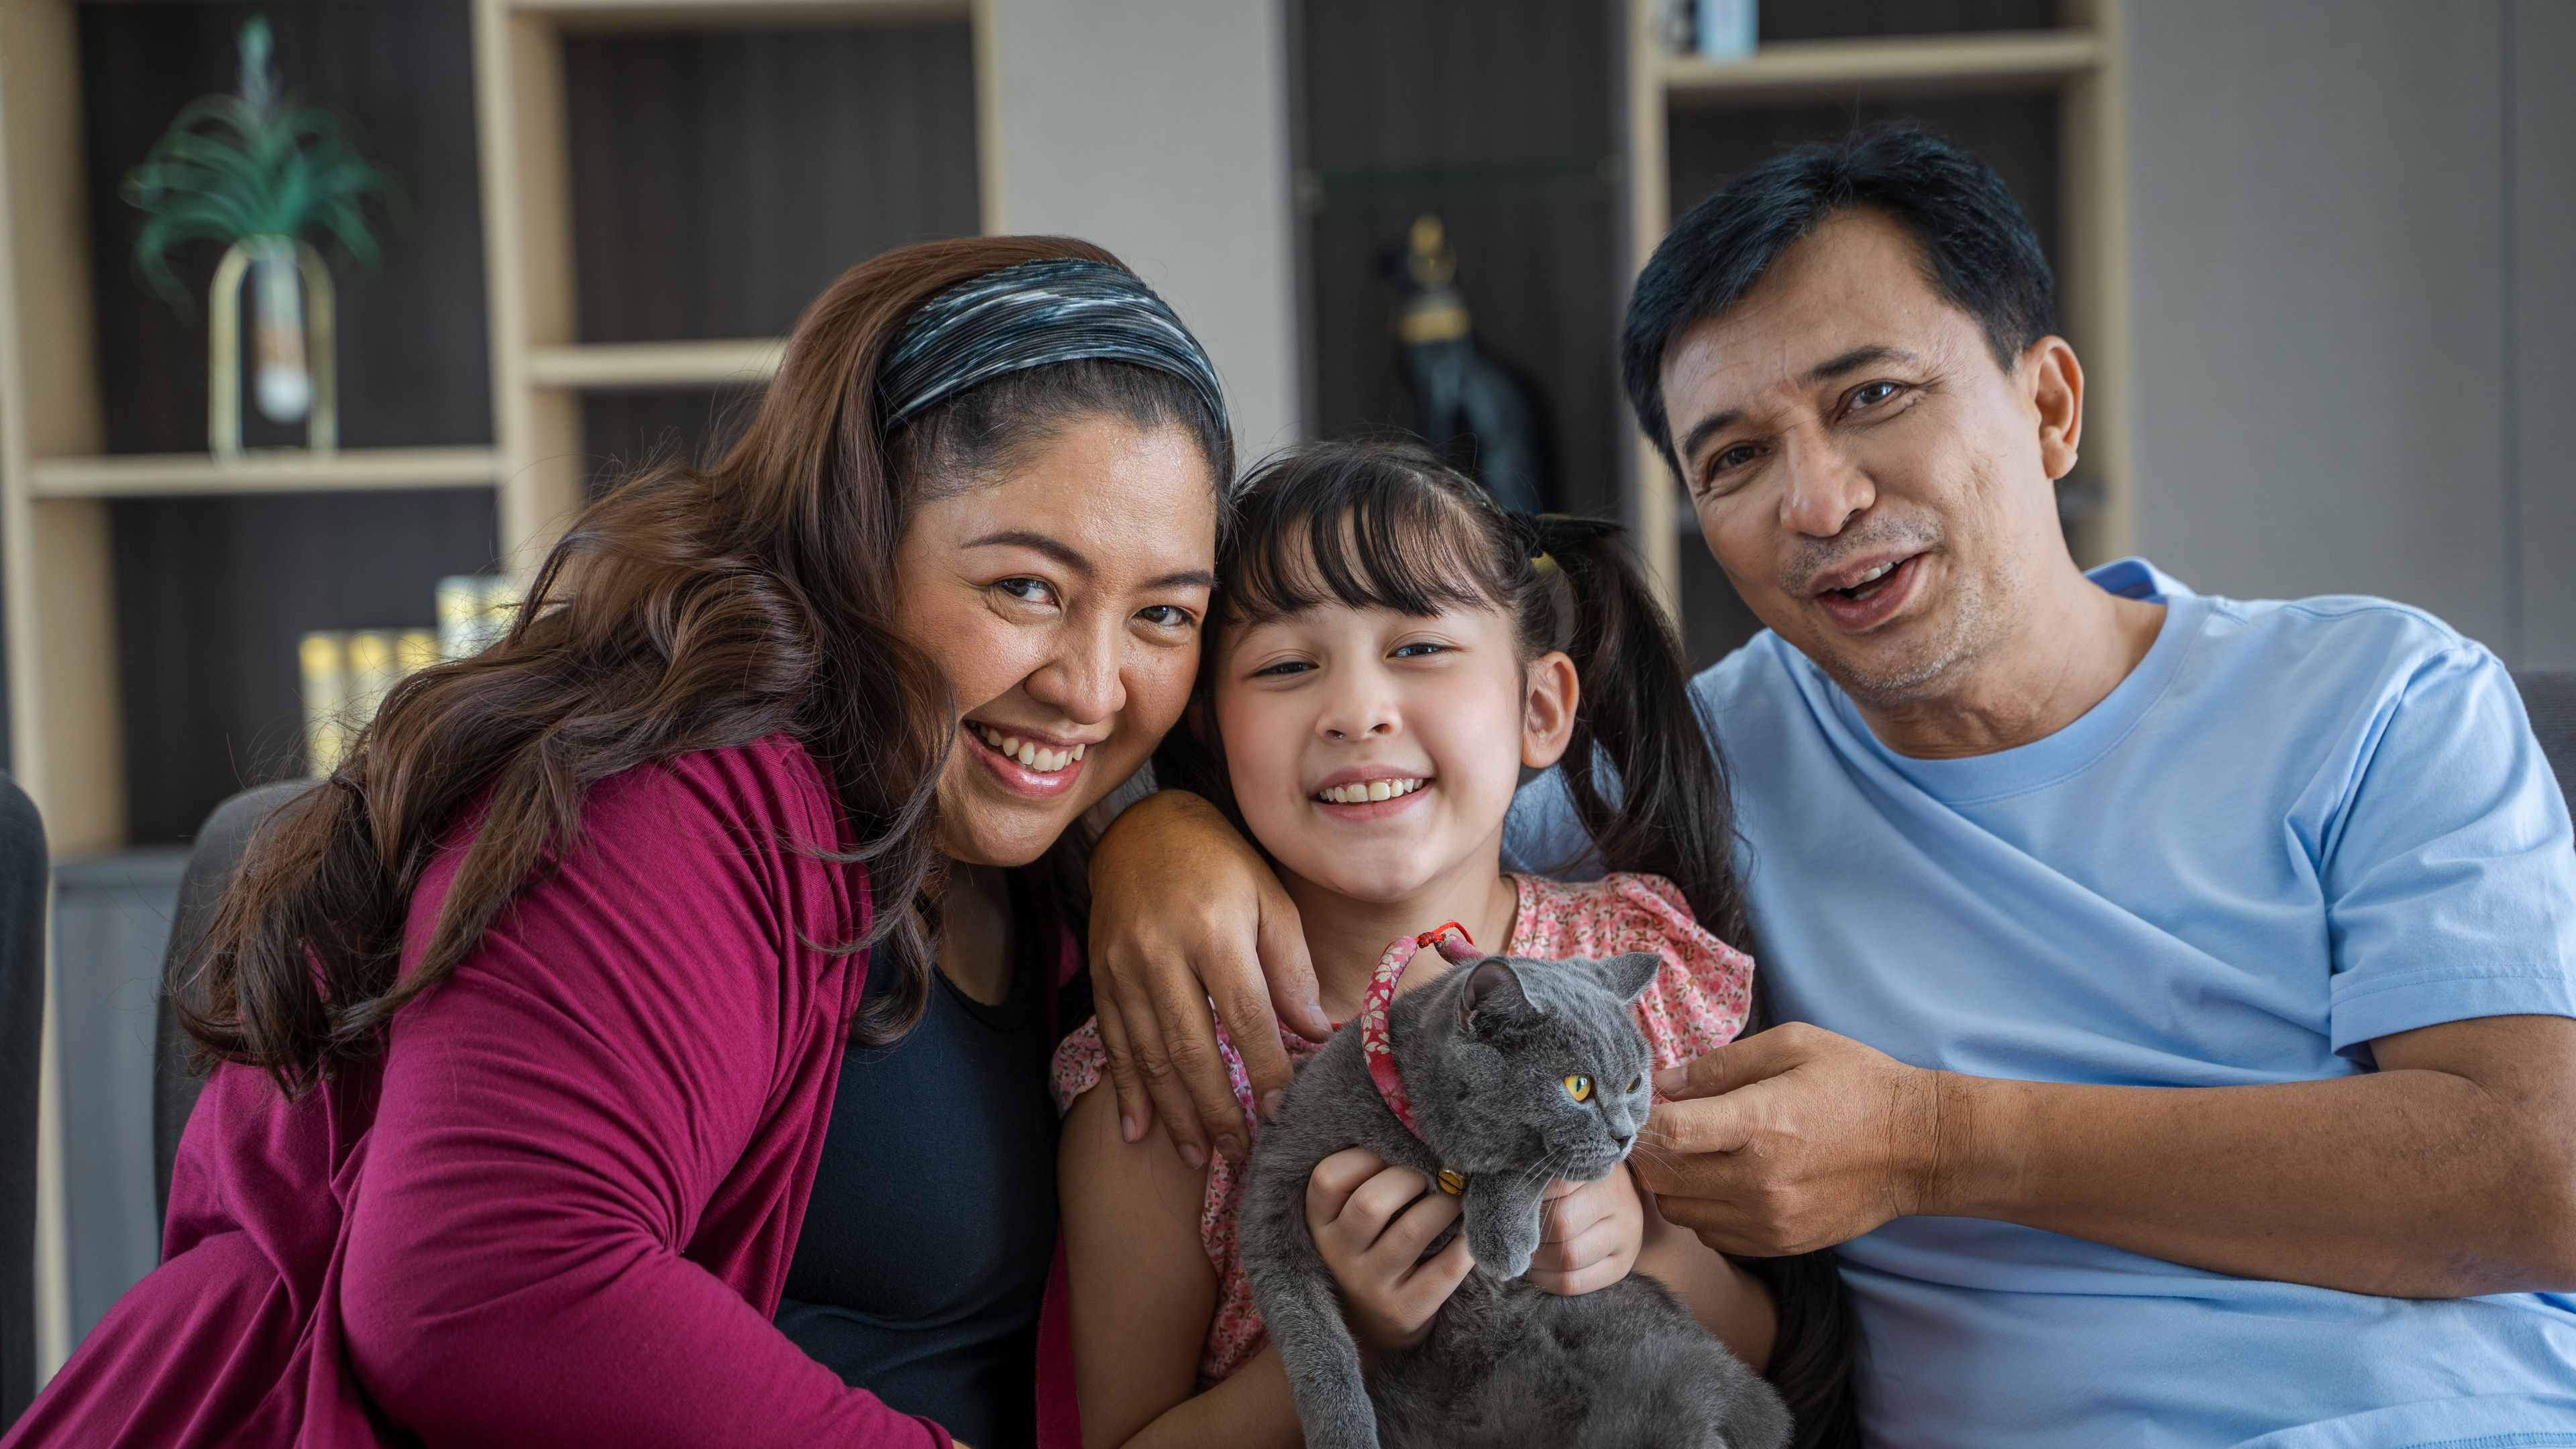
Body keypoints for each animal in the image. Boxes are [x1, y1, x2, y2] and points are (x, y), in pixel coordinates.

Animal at [1241, 949, 1792, 1444]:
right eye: (1578, 1085)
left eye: (1636, 1082)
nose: (1625, 1136)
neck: (1422, 1145)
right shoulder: (1273, 1187)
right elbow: (1313, 1337)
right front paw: (1344, 1432)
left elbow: (1528, 1165)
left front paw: (1501, 1238)